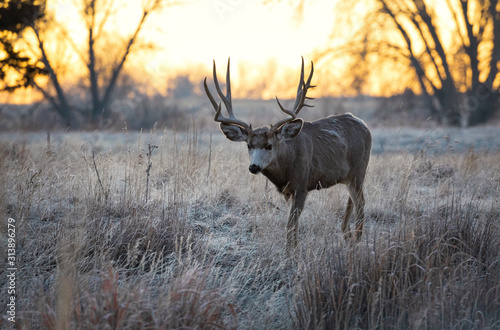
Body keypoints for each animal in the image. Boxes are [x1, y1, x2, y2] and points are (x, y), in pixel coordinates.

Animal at [203, 58, 372, 249]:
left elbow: (290, 224)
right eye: (248, 145)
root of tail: (365, 126)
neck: (286, 169)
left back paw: (357, 241)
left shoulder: (302, 185)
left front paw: (291, 252)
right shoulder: (287, 192)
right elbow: (293, 225)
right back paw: (347, 234)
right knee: (353, 200)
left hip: (359, 169)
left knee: (361, 202)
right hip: (349, 176)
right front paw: (293, 248)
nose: (254, 167)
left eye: (269, 146)